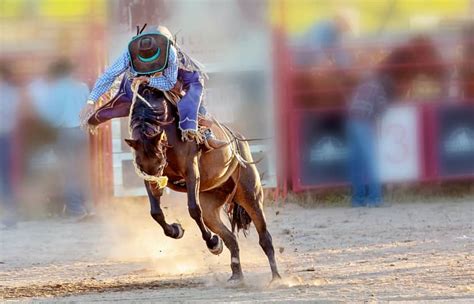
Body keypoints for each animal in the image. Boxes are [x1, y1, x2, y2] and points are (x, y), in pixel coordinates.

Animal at [121, 85, 282, 282]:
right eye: (140, 165)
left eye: (160, 162)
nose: (157, 189)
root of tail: (238, 140)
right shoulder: (147, 178)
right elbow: (156, 212)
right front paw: (176, 230)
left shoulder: (191, 172)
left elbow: (193, 210)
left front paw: (212, 242)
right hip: (211, 207)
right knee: (230, 238)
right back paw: (236, 276)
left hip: (250, 195)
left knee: (265, 238)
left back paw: (277, 278)